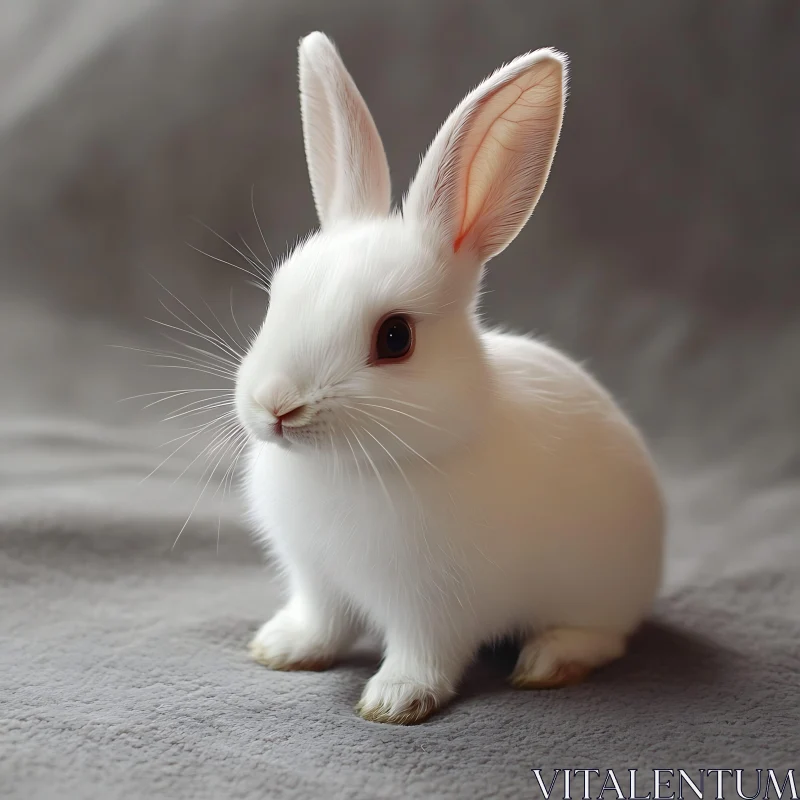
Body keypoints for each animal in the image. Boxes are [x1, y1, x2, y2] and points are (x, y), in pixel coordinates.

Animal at [236, 32, 664, 724]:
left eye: (395, 338)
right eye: (277, 297)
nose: (276, 407)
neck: (350, 467)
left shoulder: (435, 608)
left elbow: (424, 654)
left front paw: (394, 701)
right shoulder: (318, 579)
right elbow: (323, 622)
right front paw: (281, 649)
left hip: (600, 591)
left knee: (603, 635)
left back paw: (549, 662)